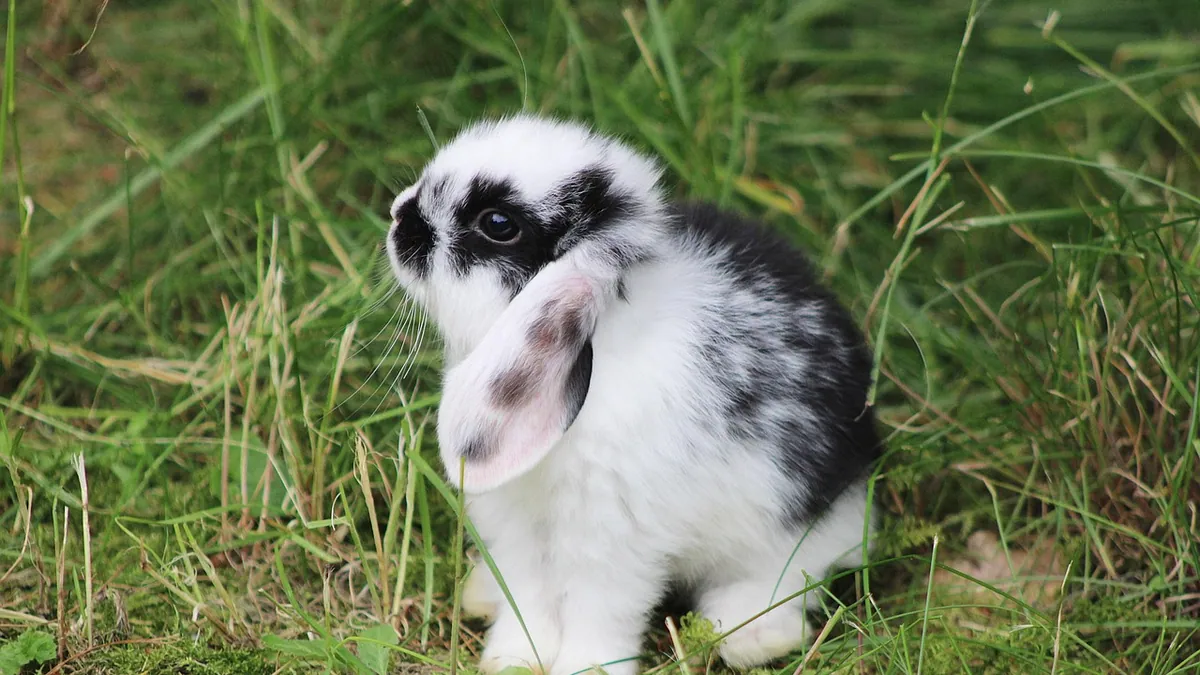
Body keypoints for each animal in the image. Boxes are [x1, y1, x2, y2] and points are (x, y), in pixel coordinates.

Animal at [383, 113, 882, 675]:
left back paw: (751, 637)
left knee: (791, 578)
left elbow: (600, 614)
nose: (399, 215)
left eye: (498, 224)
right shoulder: (517, 531)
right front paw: (513, 660)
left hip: (792, 530)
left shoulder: (613, 541)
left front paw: (586, 668)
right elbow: (527, 598)